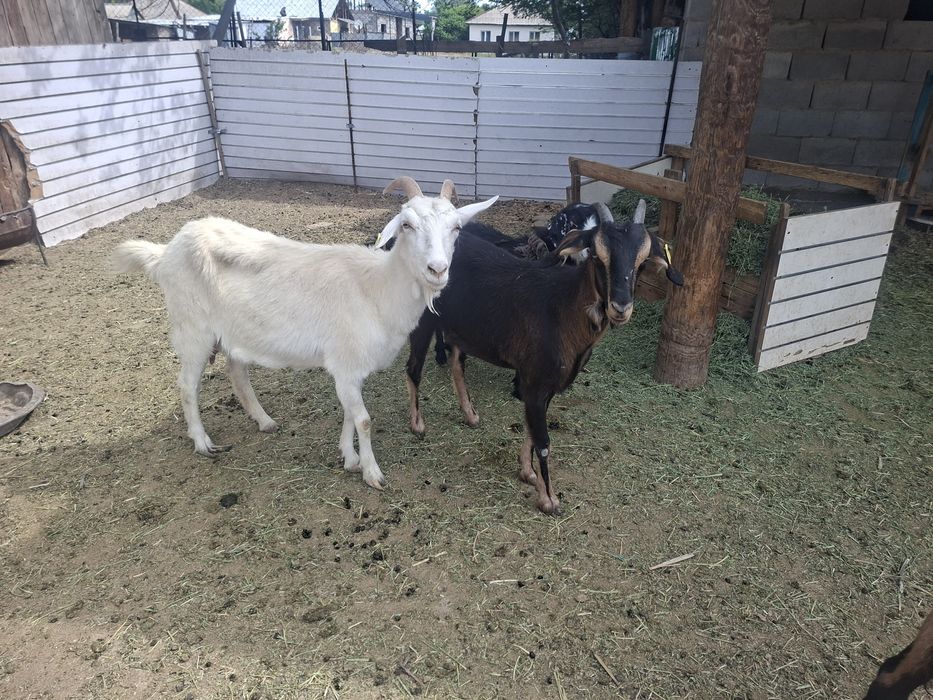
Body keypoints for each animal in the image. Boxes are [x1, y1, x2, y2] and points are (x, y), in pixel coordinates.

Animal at [113, 177, 497, 491]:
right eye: (406, 225)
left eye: (456, 228)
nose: (437, 269)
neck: (376, 288)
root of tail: (165, 252)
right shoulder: (345, 361)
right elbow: (364, 419)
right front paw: (372, 473)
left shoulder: (349, 369)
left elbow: (349, 413)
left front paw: (349, 458)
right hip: (192, 327)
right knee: (187, 385)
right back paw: (202, 442)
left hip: (233, 332)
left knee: (237, 374)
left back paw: (264, 421)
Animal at [405, 200, 683, 513]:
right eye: (597, 256)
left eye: (642, 261)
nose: (620, 307)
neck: (563, 308)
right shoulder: (535, 380)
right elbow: (543, 441)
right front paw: (548, 498)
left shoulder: (544, 384)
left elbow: (531, 430)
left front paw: (528, 473)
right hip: (422, 320)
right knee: (413, 368)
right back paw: (417, 424)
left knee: (456, 364)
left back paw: (470, 414)